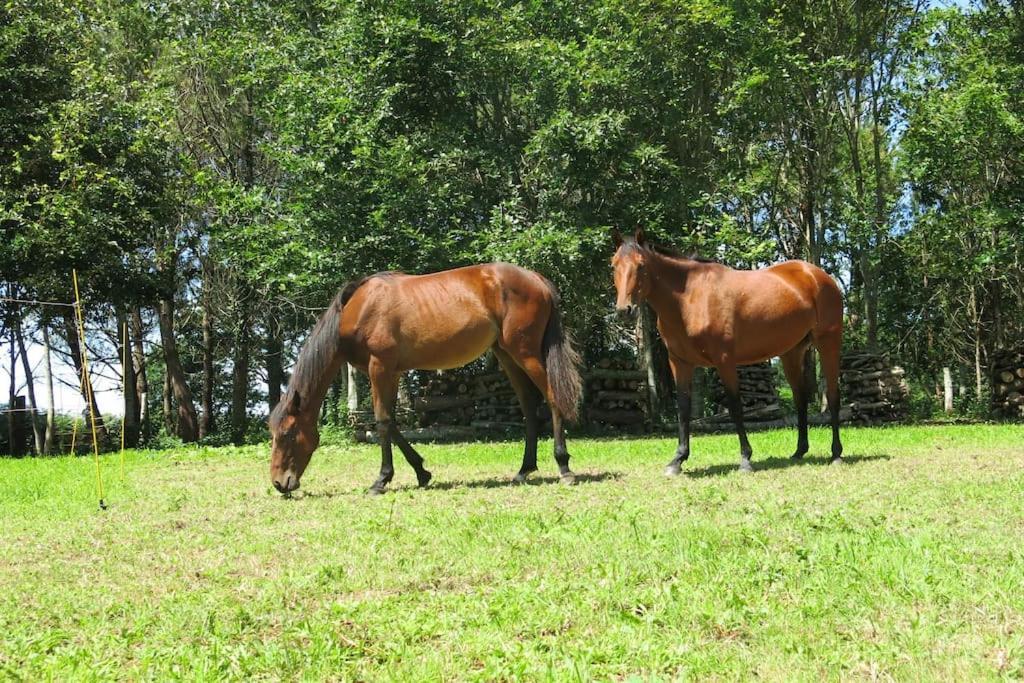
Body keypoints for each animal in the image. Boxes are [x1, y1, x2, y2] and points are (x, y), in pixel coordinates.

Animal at [268, 264, 581, 493]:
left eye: (287, 434)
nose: (279, 483)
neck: (359, 308)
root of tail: (536, 279)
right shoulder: (392, 371)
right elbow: (392, 422)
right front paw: (422, 471)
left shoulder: (379, 367)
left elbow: (382, 422)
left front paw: (381, 480)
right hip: (506, 354)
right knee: (528, 405)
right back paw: (524, 470)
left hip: (525, 352)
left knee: (553, 397)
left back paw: (564, 468)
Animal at [610, 228, 843, 471]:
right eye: (614, 265)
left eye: (641, 265)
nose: (624, 310)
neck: (690, 298)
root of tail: (817, 276)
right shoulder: (680, 362)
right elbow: (683, 408)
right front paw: (678, 459)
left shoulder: (724, 361)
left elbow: (735, 406)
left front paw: (745, 459)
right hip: (791, 352)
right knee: (800, 398)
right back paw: (799, 451)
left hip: (828, 343)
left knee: (832, 395)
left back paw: (836, 454)